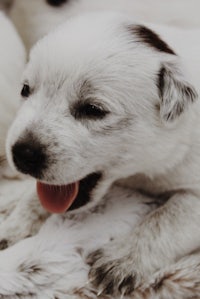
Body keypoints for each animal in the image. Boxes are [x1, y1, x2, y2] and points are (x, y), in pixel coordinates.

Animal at [4, 11, 200, 298]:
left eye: (93, 110)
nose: (23, 153)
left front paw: (122, 260)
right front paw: (13, 225)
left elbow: (166, 219)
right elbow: (35, 196)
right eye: (25, 90)